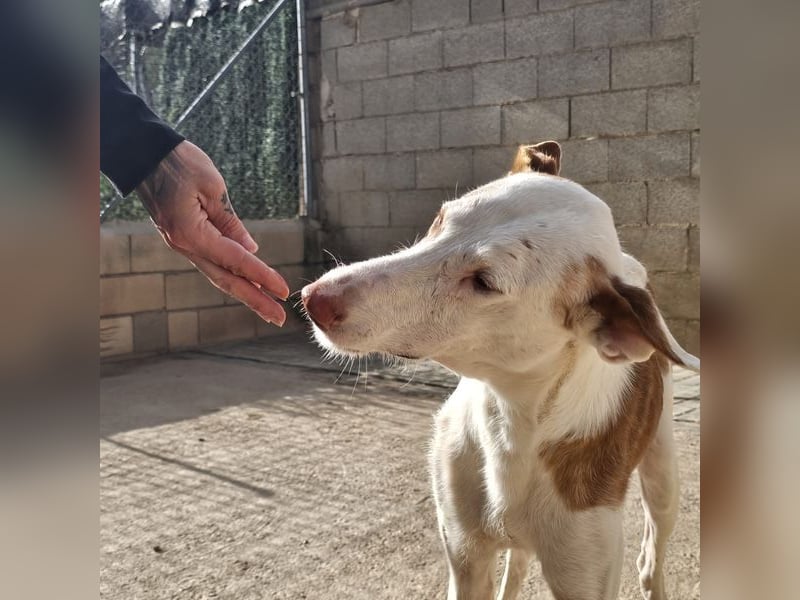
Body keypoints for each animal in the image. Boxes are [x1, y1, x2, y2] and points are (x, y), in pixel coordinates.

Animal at [302, 143, 700, 596]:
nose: (313, 298)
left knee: (650, 559)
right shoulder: (465, 555)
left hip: (663, 477)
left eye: (484, 282)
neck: (512, 423)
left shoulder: (584, 571)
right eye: (440, 219)